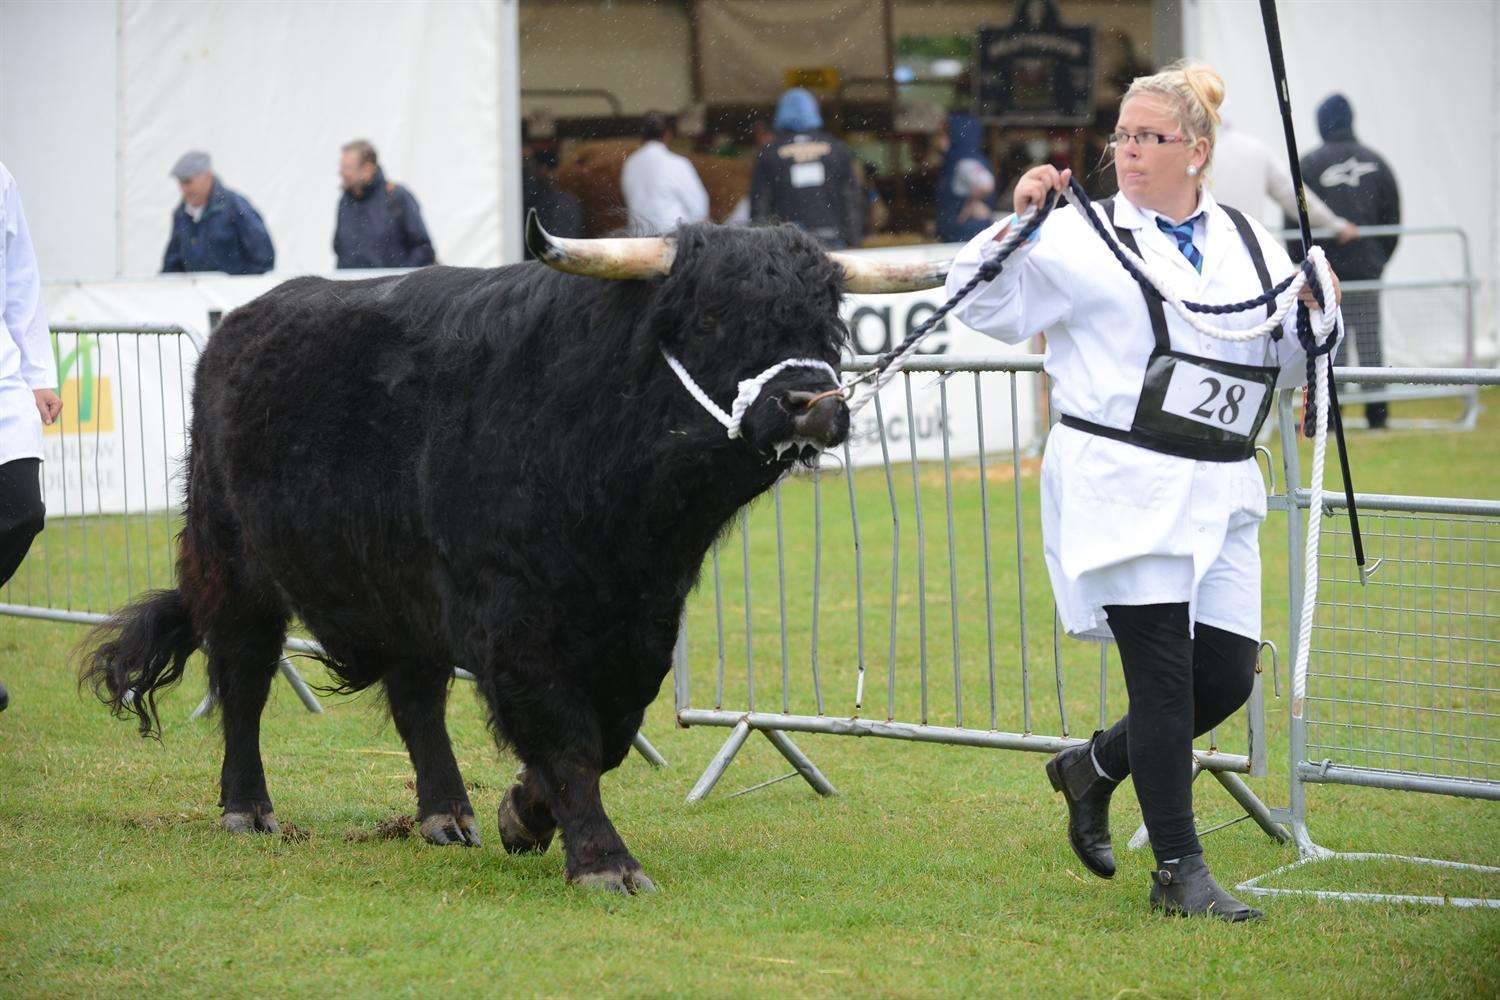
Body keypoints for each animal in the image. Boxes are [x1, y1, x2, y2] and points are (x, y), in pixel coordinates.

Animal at [79, 218, 948, 893]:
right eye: (708, 317)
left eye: (828, 323)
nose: (813, 402)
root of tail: (238, 325)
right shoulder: (510, 611)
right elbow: (562, 731)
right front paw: (601, 858)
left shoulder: (643, 621)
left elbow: (608, 731)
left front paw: (524, 816)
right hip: (233, 564)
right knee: (244, 678)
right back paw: (247, 807)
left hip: (404, 593)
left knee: (416, 698)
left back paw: (446, 813)